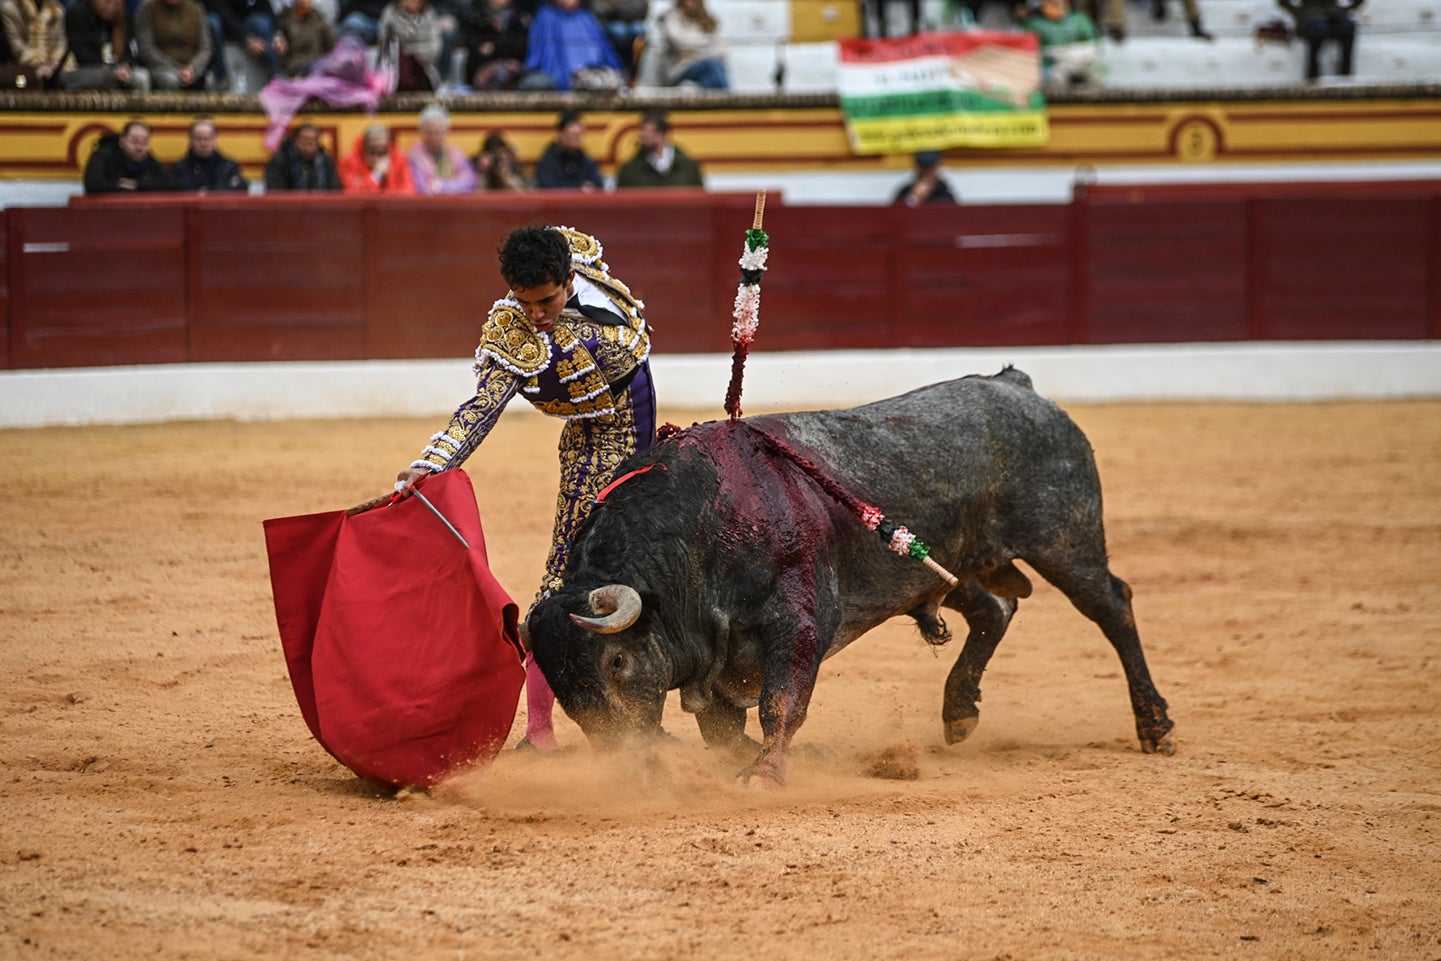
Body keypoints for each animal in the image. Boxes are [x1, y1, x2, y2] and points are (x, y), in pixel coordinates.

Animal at [524, 371, 1175, 789]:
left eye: (615, 663)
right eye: (557, 679)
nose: (626, 765)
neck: (697, 532)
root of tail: (1018, 386)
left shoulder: (800, 621)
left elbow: (779, 704)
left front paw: (765, 775)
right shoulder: (717, 650)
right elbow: (722, 728)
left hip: (1065, 540)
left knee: (1113, 607)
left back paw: (1156, 726)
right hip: (945, 566)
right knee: (996, 609)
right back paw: (958, 710)